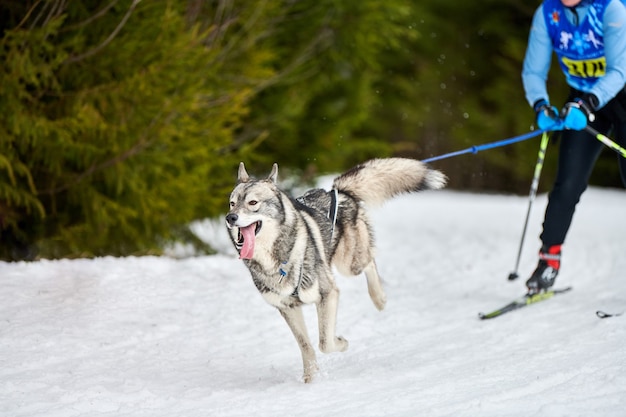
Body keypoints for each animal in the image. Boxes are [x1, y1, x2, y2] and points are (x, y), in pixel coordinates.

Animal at [224, 158, 444, 382]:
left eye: (252, 203)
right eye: (232, 203)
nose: (230, 217)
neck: (277, 262)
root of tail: (337, 191)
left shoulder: (327, 294)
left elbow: (325, 342)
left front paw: (341, 342)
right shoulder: (288, 308)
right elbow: (306, 347)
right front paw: (310, 380)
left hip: (349, 265)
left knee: (370, 261)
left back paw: (379, 299)